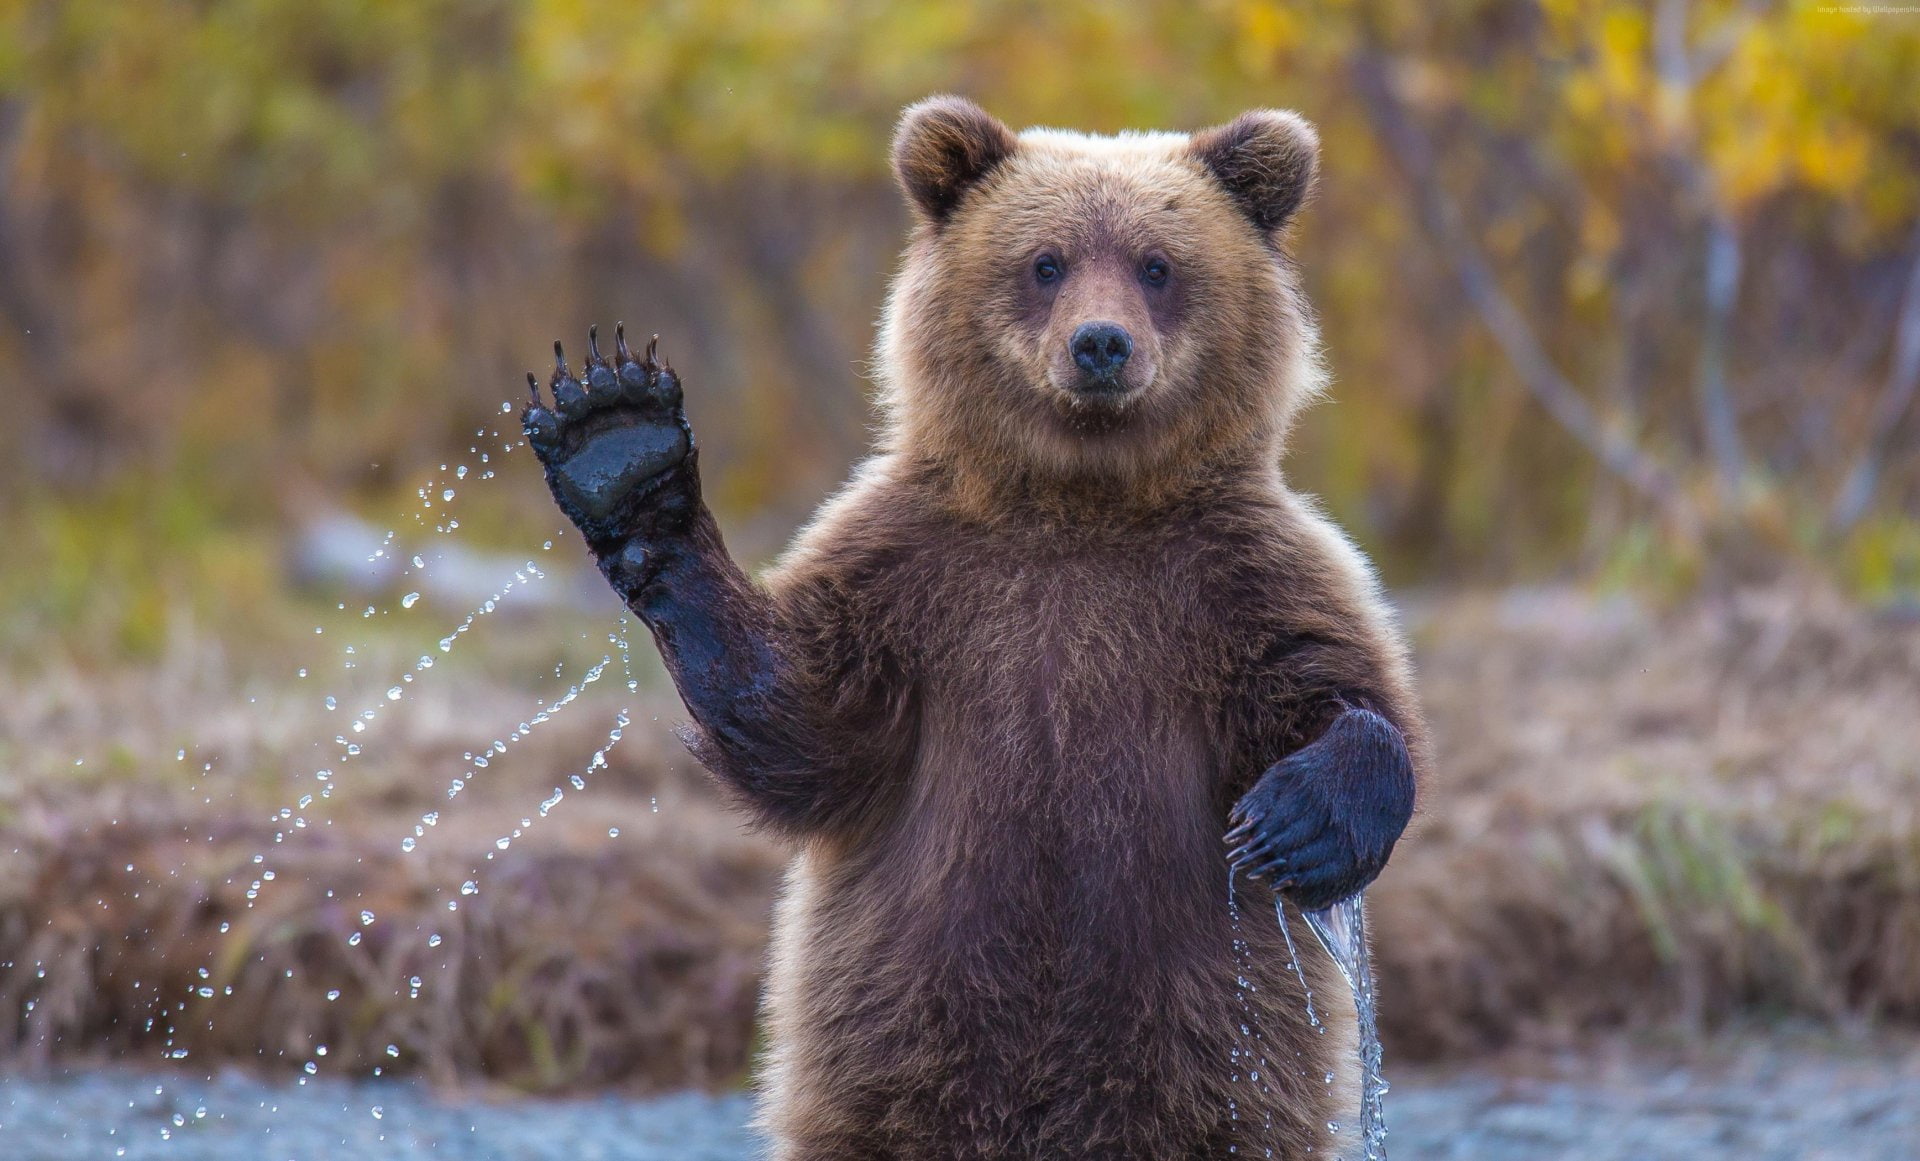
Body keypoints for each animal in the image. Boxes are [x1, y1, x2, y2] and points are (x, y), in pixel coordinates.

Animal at [520, 96, 1425, 1160]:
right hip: (896, 1033)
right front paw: (620, 443)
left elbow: (1339, 688)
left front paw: (1297, 821)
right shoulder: (915, 576)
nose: (1101, 345)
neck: (1078, 502)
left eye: (1157, 263)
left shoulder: (1237, 577)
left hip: (1212, 1045)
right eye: (1046, 261)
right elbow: (803, 721)